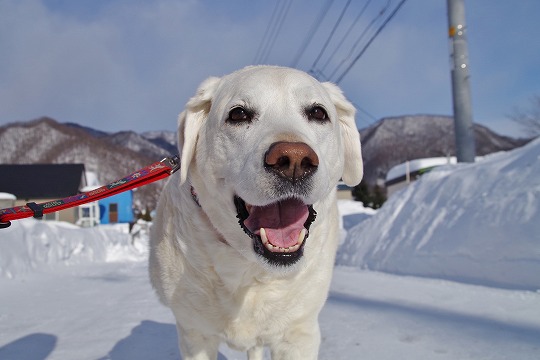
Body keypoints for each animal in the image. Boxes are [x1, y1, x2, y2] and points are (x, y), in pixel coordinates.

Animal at [149, 65, 362, 360]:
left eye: (318, 113)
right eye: (238, 114)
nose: (294, 160)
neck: (250, 265)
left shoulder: (298, 334)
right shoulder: (195, 335)